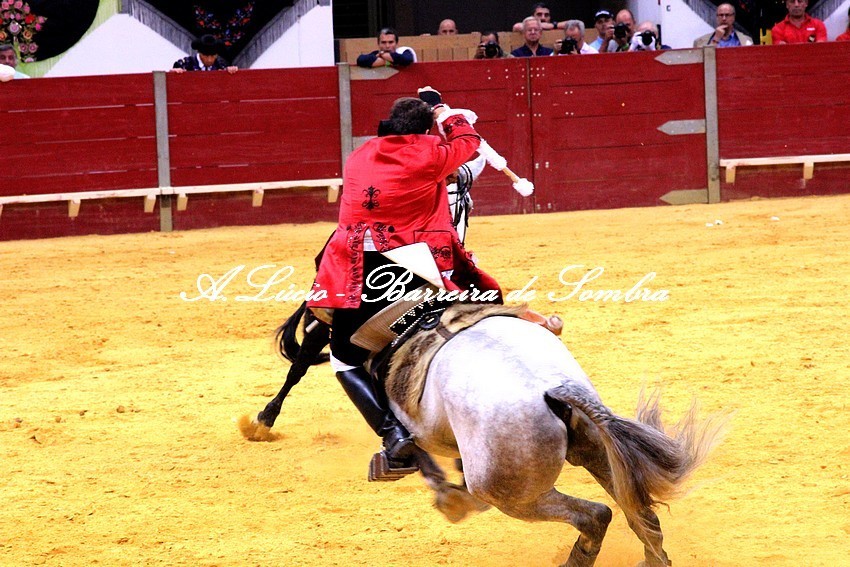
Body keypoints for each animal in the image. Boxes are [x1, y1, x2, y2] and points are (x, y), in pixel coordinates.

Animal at [242, 303, 726, 566]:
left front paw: (262, 420)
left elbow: (301, 369)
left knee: (596, 516)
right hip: (600, 456)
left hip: (513, 494)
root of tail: (554, 387)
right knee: (641, 516)